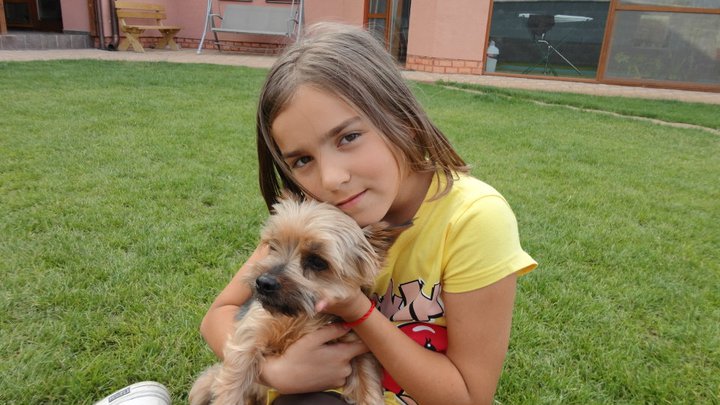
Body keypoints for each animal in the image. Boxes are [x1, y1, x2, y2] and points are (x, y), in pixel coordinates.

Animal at [189, 196, 403, 405]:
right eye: (273, 246)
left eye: (317, 261)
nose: (263, 282)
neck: (302, 318)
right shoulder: (250, 337)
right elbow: (232, 386)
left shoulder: (359, 353)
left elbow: (368, 389)